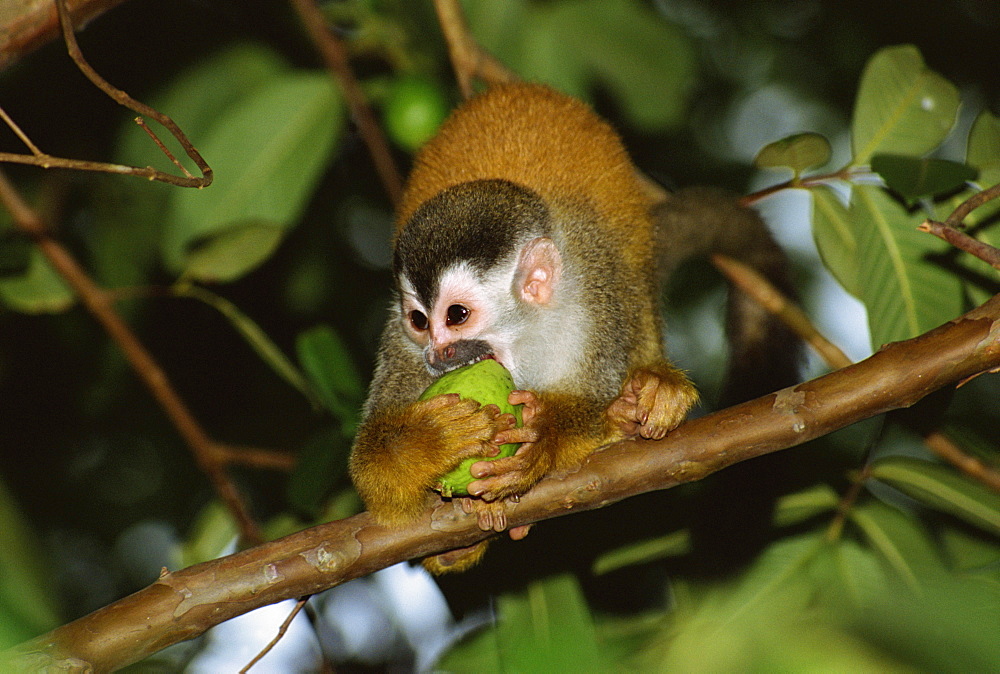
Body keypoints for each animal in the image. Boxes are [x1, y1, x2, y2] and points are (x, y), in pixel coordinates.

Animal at [348, 81, 792, 568]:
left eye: (456, 315)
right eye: (419, 320)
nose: (438, 353)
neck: (523, 337)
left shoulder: (596, 301)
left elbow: (592, 397)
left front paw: (546, 438)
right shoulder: (399, 346)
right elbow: (373, 477)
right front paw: (427, 442)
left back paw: (644, 400)